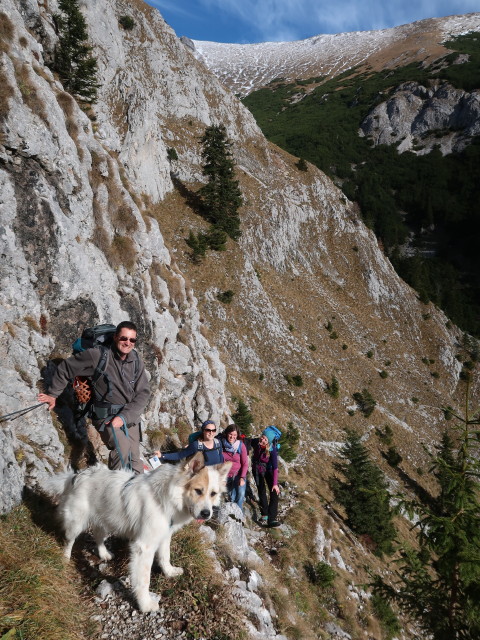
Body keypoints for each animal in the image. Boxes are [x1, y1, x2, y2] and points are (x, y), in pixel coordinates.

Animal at [44, 452, 232, 612]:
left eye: (213, 494)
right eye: (198, 491)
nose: (207, 513)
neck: (165, 498)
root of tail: (76, 475)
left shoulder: (164, 536)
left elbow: (165, 556)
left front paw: (169, 572)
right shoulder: (144, 546)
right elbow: (143, 580)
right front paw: (145, 604)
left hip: (106, 521)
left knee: (98, 536)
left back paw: (104, 553)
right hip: (76, 521)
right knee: (69, 540)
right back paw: (64, 558)